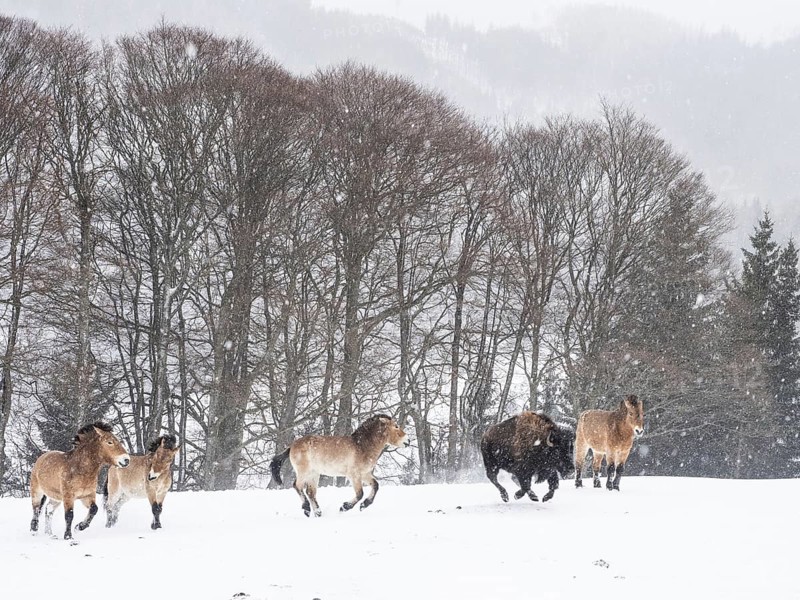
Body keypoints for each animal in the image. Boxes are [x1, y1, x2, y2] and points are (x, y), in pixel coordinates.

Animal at [270, 414, 409, 517]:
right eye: (396, 426)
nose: (407, 441)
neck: (362, 446)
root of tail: (292, 446)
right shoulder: (354, 475)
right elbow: (360, 493)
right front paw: (344, 507)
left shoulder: (365, 474)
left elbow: (375, 486)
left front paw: (364, 505)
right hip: (304, 472)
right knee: (297, 486)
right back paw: (307, 509)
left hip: (314, 474)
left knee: (311, 493)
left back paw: (318, 513)